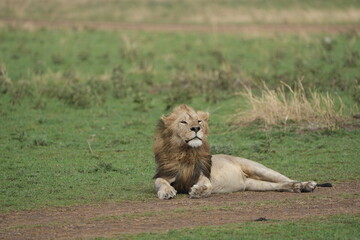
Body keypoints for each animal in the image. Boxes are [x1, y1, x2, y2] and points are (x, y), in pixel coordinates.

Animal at [153, 104, 318, 200]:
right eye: (183, 122)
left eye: (199, 121)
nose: (196, 128)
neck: (186, 152)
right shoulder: (164, 175)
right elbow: (160, 182)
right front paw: (167, 192)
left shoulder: (203, 176)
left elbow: (208, 186)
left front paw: (198, 191)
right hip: (254, 184)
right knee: (280, 184)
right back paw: (297, 187)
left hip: (258, 168)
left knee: (287, 178)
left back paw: (307, 184)